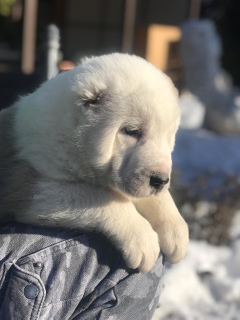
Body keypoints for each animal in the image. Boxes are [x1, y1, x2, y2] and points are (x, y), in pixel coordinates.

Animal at [0, 53, 188, 272]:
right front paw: (143, 240)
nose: (159, 180)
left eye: (168, 136)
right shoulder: (29, 186)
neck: (69, 135)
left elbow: (157, 198)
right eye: (132, 131)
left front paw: (175, 231)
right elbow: (100, 197)